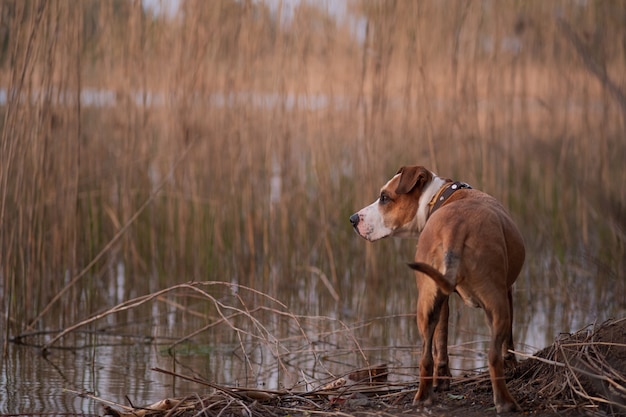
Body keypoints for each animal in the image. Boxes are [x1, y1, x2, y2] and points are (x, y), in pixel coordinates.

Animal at [348, 164, 524, 412]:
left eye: (384, 197)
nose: (353, 219)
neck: (440, 195)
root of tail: (457, 229)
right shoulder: (508, 291)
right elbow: (508, 340)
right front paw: (513, 365)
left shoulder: (442, 298)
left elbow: (441, 341)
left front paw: (443, 380)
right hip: (497, 302)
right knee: (493, 355)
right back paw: (505, 402)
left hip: (426, 303)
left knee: (425, 357)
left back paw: (423, 397)